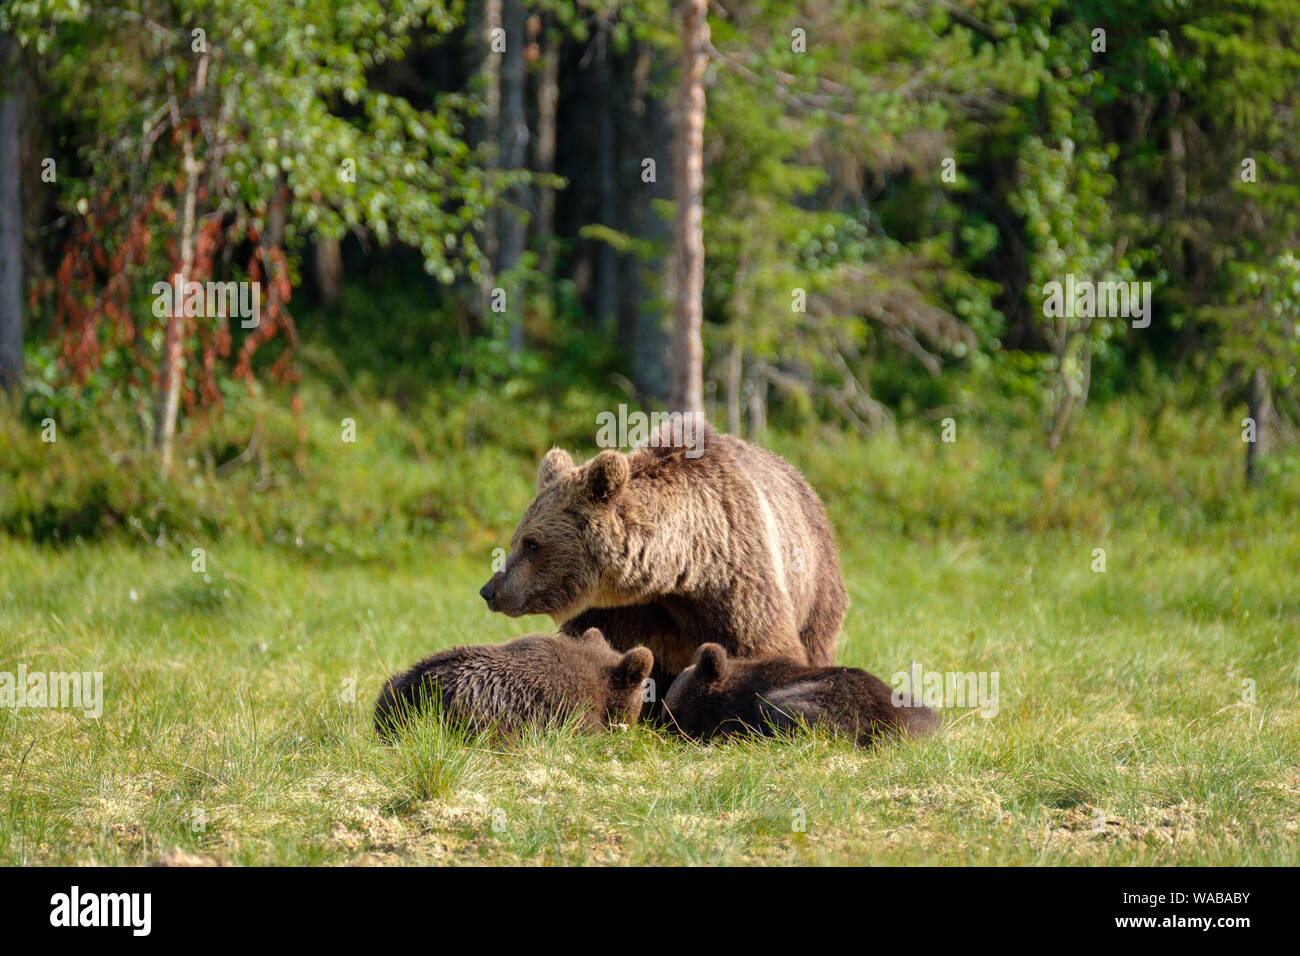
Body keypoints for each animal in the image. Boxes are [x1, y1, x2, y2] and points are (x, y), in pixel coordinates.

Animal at [478, 420, 848, 700]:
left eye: (532, 544)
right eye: (516, 539)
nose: (489, 590)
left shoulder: (736, 576)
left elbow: (763, 645)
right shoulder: (619, 610)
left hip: (816, 579)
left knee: (816, 637)